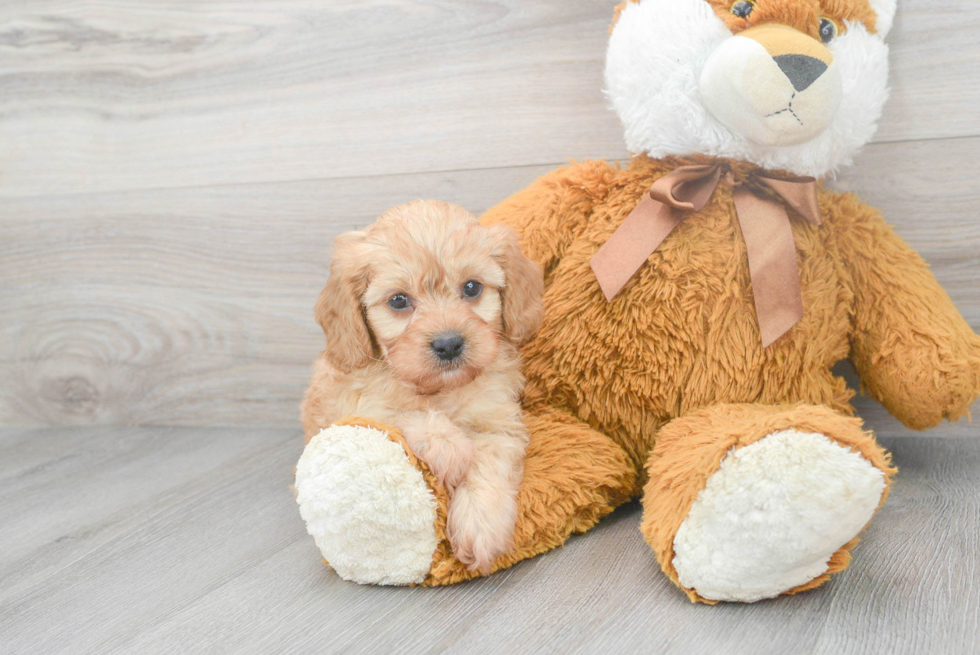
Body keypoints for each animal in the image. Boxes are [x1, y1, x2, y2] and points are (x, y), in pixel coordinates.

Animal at [300, 200, 544, 576]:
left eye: (472, 288)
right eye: (399, 300)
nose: (449, 344)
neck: (440, 390)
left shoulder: (498, 422)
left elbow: (488, 465)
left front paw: (480, 527)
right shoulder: (356, 405)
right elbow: (400, 413)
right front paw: (449, 447)